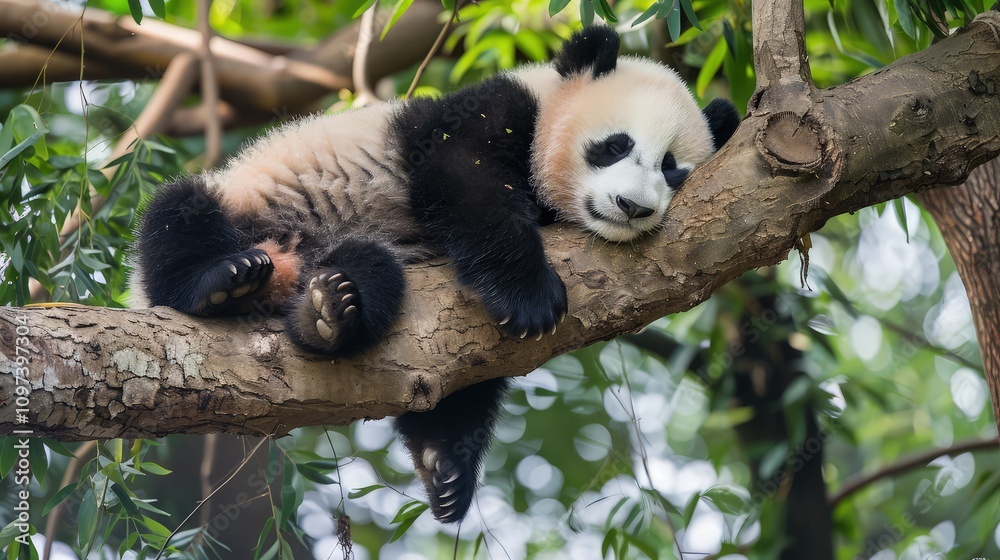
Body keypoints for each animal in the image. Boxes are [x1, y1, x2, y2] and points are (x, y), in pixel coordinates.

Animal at [131, 25, 740, 524]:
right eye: (615, 145)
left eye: (673, 170)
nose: (632, 207)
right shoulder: (483, 113)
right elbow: (466, 184)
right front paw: (529, 296)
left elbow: (470, 369)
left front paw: (446, 463)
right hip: (244, 204)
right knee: (178, 213)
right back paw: (226, 281)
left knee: (373, 276)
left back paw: (330, 315)